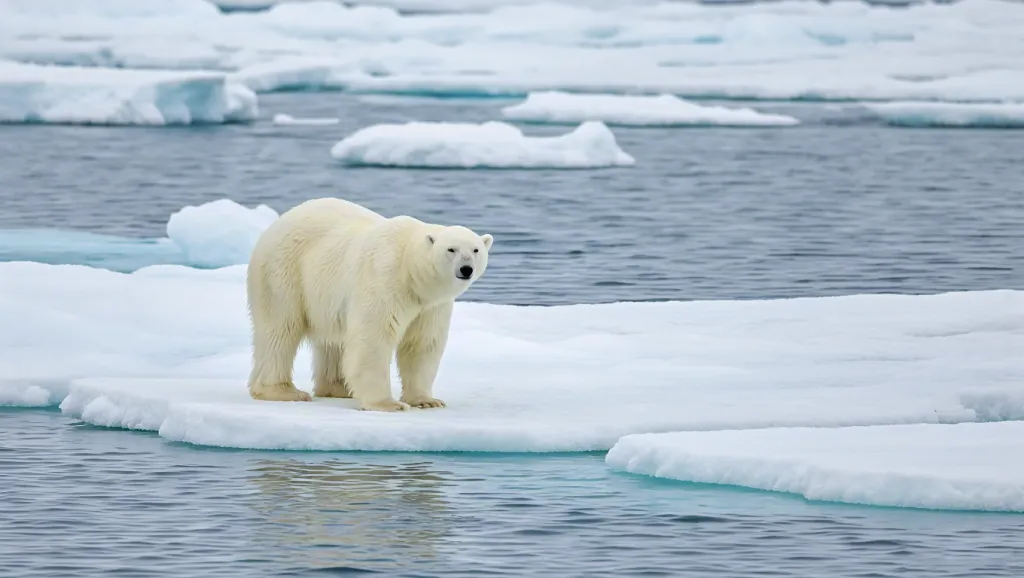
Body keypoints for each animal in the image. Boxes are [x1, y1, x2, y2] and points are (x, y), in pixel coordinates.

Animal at [245, 197, 493, 412]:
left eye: (475, 250)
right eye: (451, 249)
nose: (466, 269)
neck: (410, 271)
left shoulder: (431, 306)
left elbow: (421, 344)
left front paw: (427, 401)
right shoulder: (385, 279)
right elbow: (374, 337)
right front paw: (388, 404)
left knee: (333, 340)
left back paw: (338, 388)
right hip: (283, 272)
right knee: (280, 329)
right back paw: (283, 391)